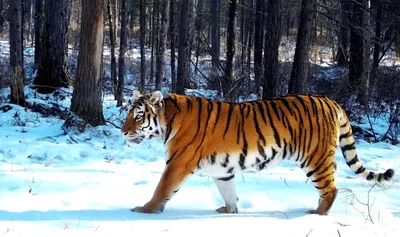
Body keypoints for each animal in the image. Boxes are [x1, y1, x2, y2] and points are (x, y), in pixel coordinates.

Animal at [120, 90, 396, 215]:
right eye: (128, 114)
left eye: (138, 115)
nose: (123, 132)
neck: (168, 121)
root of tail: (331, 101)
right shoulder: (222, 170)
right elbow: (229, 193)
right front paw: (229, 212)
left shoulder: (178, 163)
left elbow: (162, 188)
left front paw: (144, 210)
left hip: (315, 160)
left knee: (331, 188)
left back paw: (317, 214)